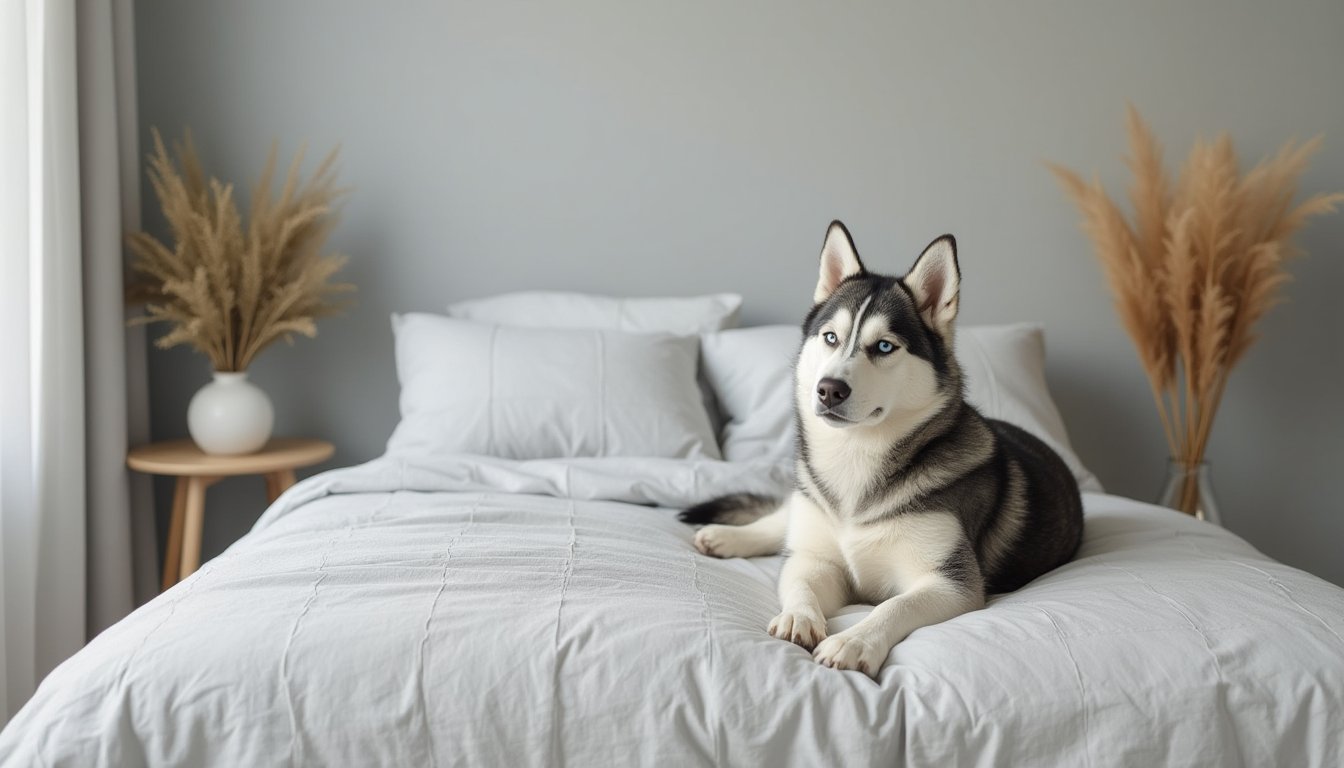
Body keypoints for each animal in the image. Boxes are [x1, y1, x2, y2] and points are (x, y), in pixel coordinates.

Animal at [682, 221, 1080, 677]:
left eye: (885, 347)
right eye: (830, 338)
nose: (829, 390)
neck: (855, 457)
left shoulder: (950, 581)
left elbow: (894, 606)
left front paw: (852, 641)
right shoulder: (816, 558)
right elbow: (800, 580)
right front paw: (799, 616)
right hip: (806, 502)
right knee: (782, 518)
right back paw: (728, 535)